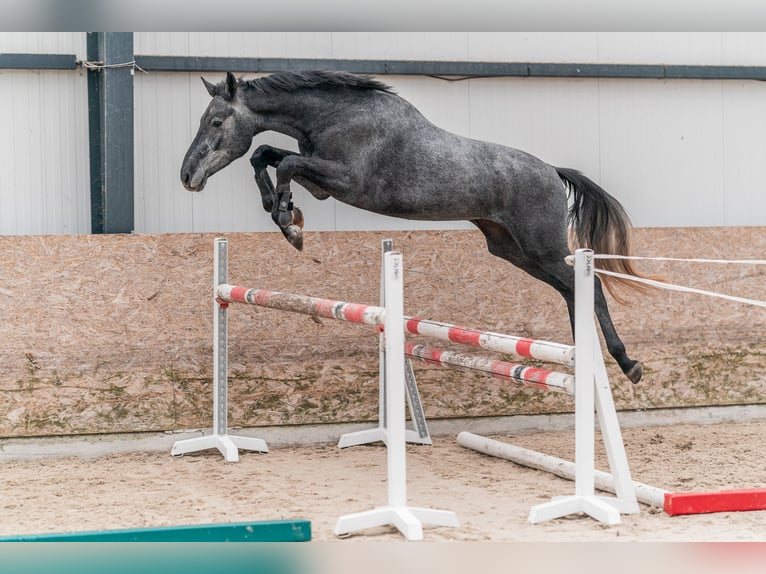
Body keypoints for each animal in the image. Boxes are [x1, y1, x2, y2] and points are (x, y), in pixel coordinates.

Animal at [183, 72, 652, 388]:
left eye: (217, 122)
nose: (188, 177)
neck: (335, 114)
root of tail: (553, 171)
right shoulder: (322, 183)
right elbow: (264, 154)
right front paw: (283, 212)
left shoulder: (343, 181)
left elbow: (284, 163)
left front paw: (288, 222)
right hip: (513, 250)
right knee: (572, 290)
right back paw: (595, 357)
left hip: (542, 247)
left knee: (589, 287)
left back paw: (625, 363)